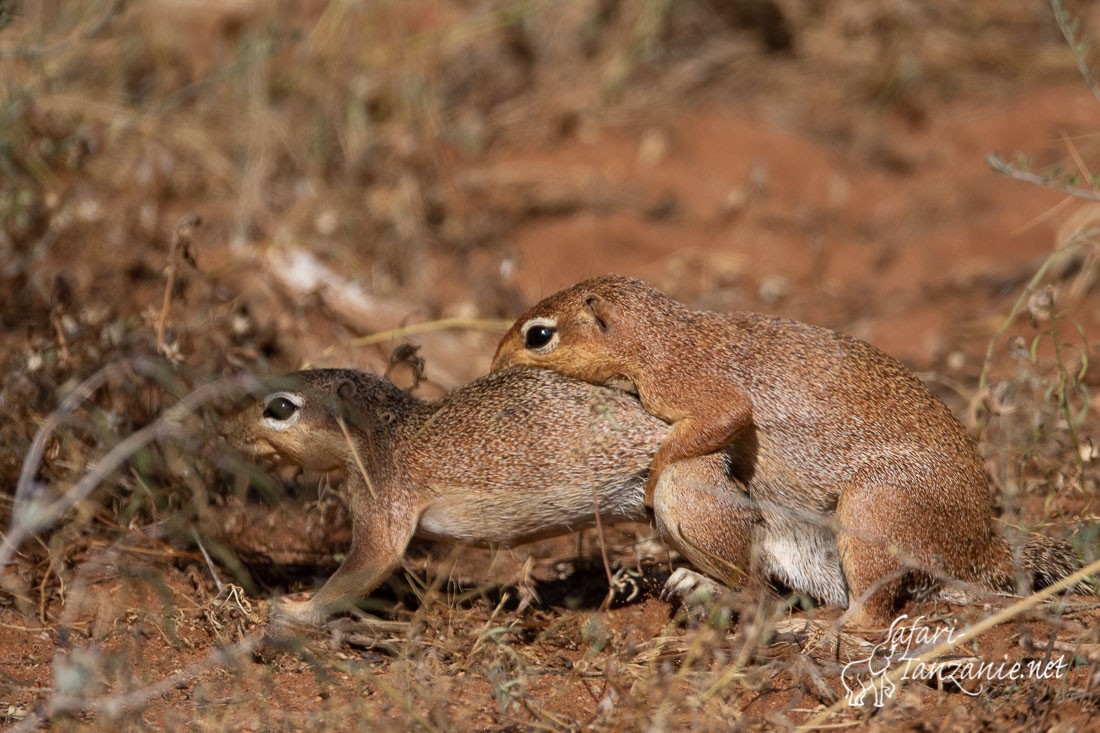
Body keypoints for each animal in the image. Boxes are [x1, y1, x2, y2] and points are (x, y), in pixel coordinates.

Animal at [492, 272, 1082, 620]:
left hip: (877, 508)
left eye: (538, 335)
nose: (493, 366)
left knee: (873, 613)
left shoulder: (692, 387)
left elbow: (713, 424)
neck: (663, 336)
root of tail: (982, 548)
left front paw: (655, 476)